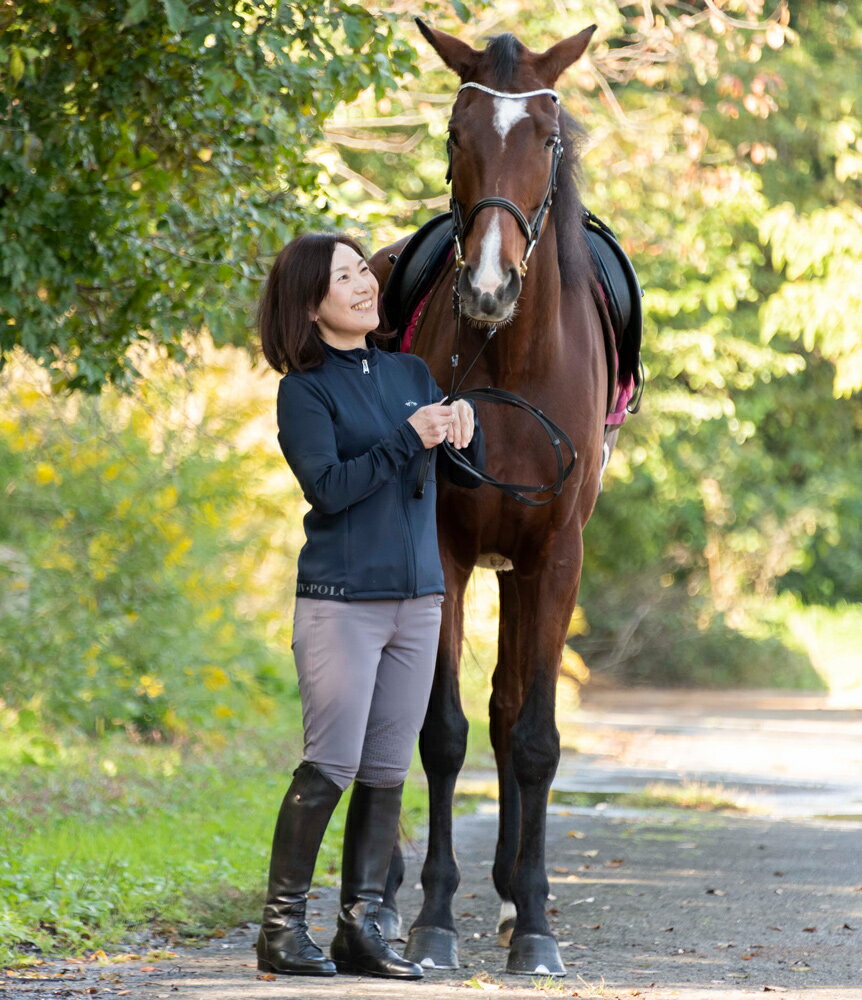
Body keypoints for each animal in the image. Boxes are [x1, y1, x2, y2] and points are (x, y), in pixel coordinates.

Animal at [372, 19, 620, 980]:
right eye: (454, 134)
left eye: (547, 141)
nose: (486, 288)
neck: (512, 366)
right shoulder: (442, 551)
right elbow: (440, 731)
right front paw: (435, 917)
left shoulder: (556, 558)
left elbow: (536, 738)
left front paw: (539, 925)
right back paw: (395, 892)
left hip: (521, 569)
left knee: (514, 710)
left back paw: (517, 894)